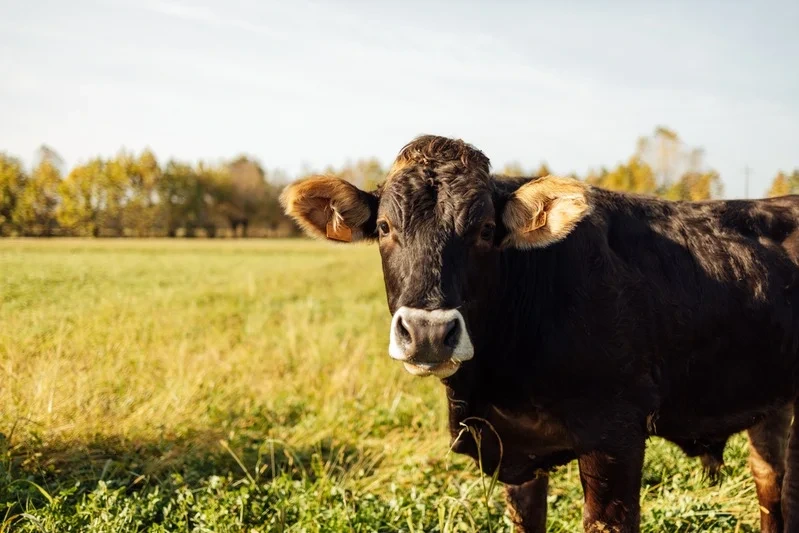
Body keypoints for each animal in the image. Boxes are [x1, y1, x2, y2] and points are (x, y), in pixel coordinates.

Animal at [280, 135, 799, 533]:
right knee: (772, 484)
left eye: (486, 229)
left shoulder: (615, 435)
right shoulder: (514, 453)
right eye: (385, 226)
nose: (428, 331)